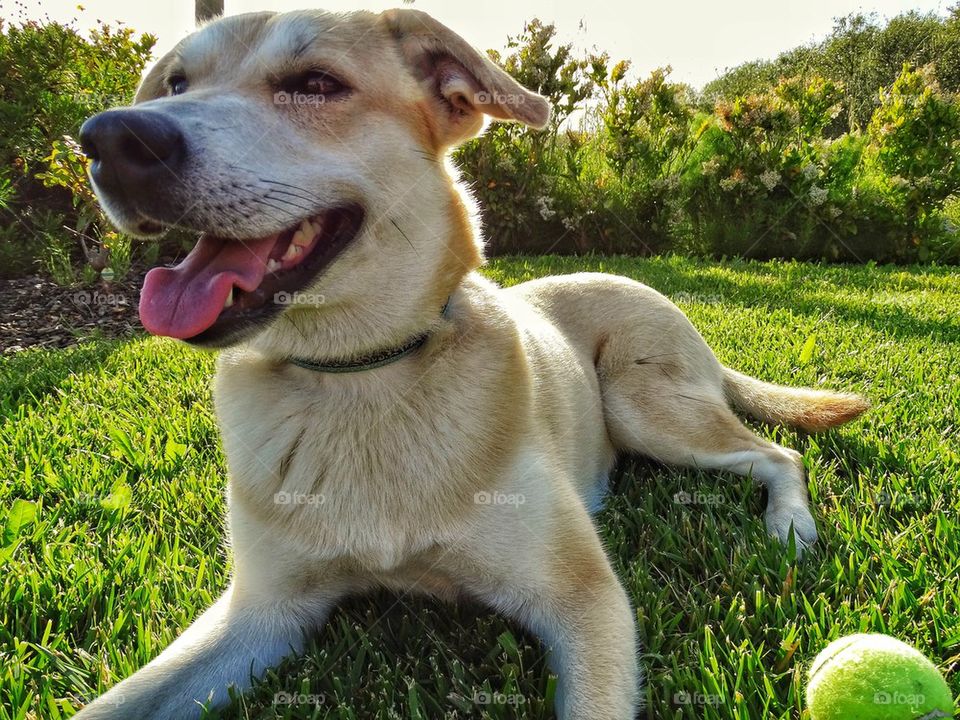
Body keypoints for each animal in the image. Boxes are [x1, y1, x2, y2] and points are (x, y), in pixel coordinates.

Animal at [77, 7, 872, 720]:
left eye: (316, 83)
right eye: (177, 83)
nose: (109, 137)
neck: (360, 375)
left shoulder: (586, 600)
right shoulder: (262, 612)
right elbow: (117, 703)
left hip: (646, 404)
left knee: (778, 453)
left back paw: (790, 528)